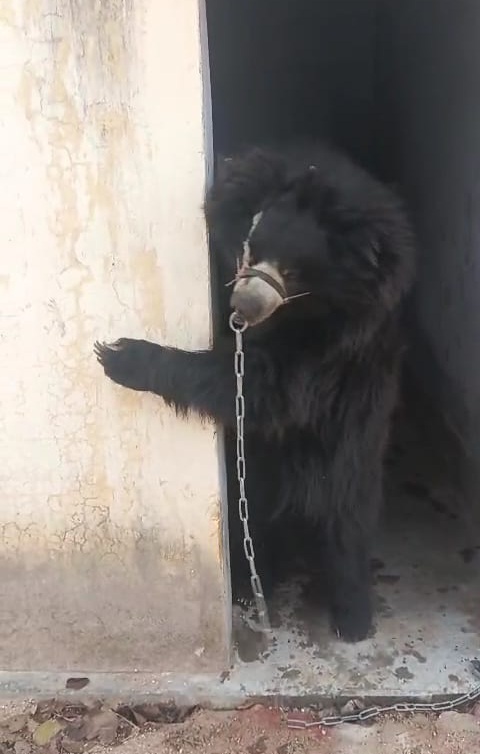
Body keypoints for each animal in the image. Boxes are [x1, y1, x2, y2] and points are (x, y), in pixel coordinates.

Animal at [94, 142, 416, 643]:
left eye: (295, 272)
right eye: (251, 247)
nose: (242, 308)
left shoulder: (343, 338)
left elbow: (269, 387)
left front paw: (121, 356)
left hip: (356, 447)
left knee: (348, 519)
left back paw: (352, 615)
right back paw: (251, 585)